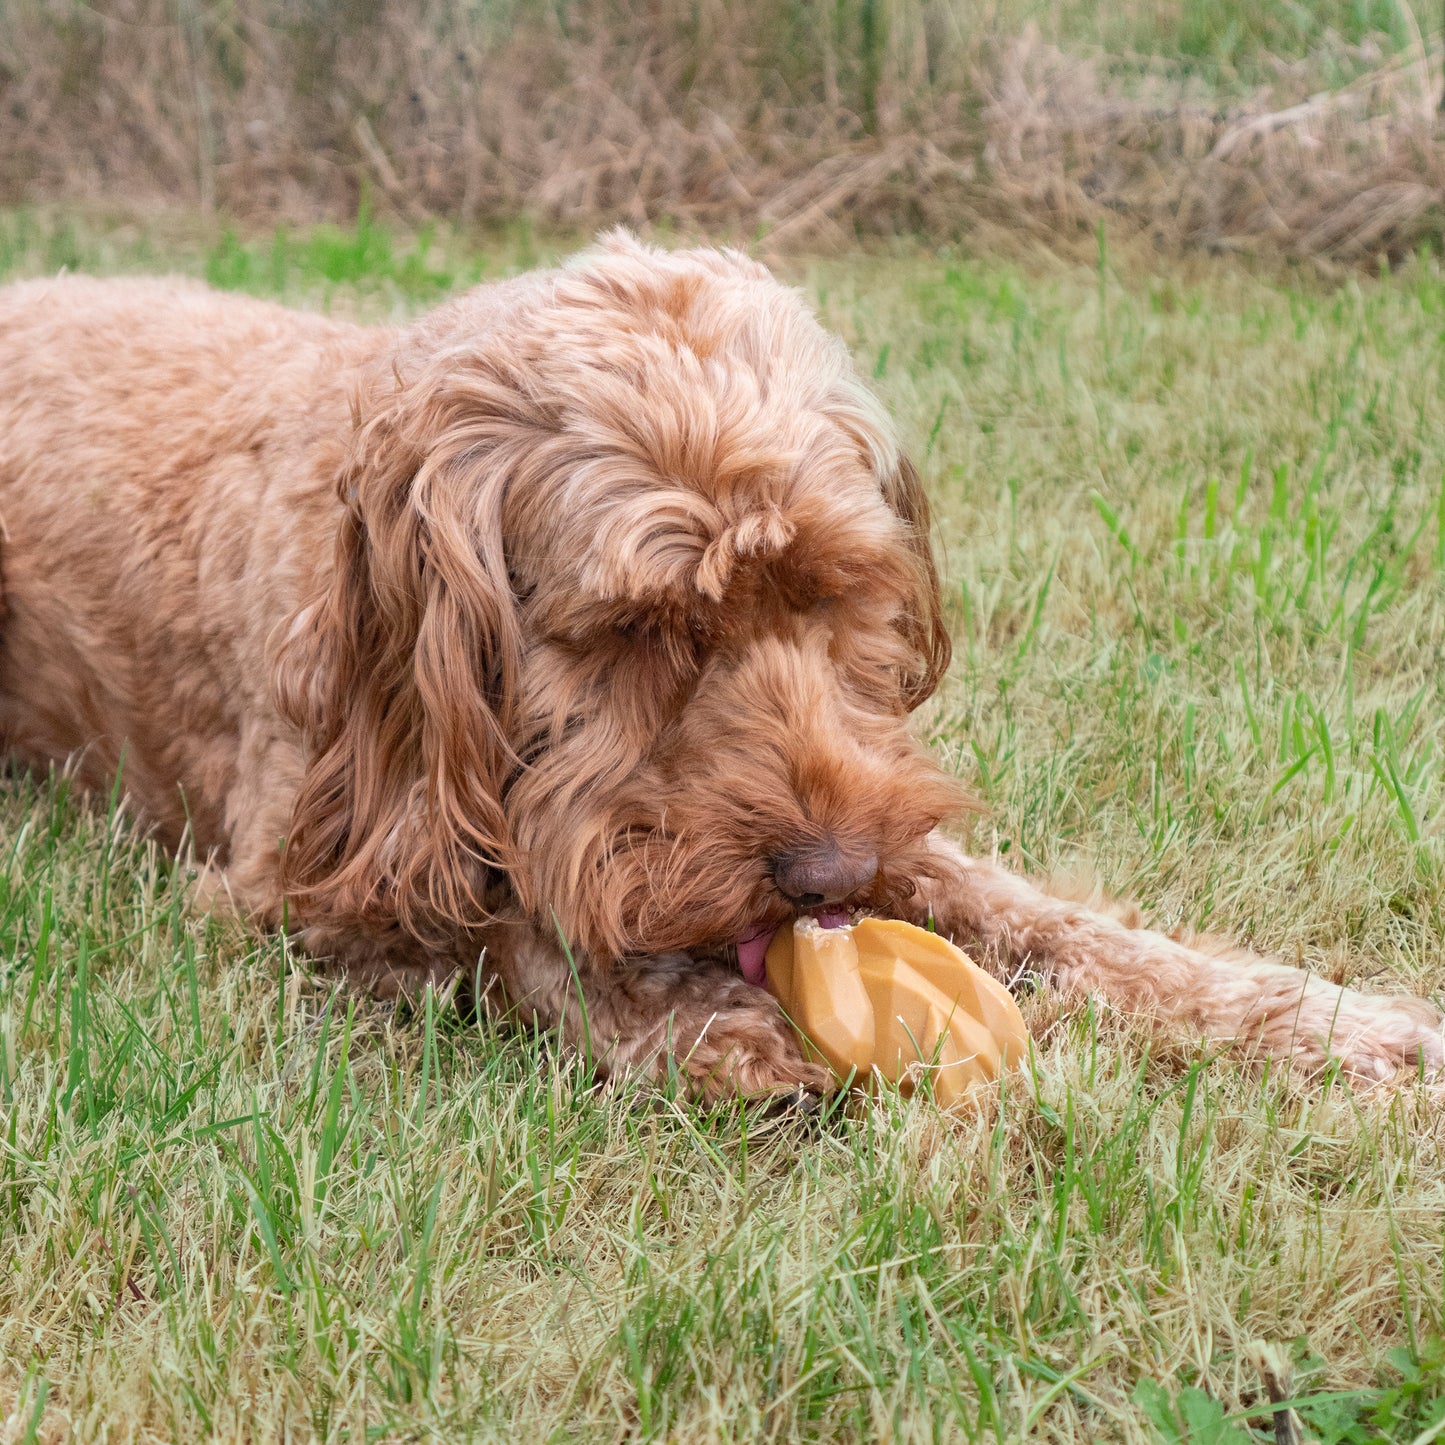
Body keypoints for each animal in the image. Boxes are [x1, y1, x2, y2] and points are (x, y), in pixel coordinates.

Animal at [0, 231, 1439, 1098]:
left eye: (833, 590)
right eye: (640, 631)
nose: (828, 880)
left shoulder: (890, 816)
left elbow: (1061, 923)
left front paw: (1328, 1022)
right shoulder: (291, 881)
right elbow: (510, 940)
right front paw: (692, 1022)